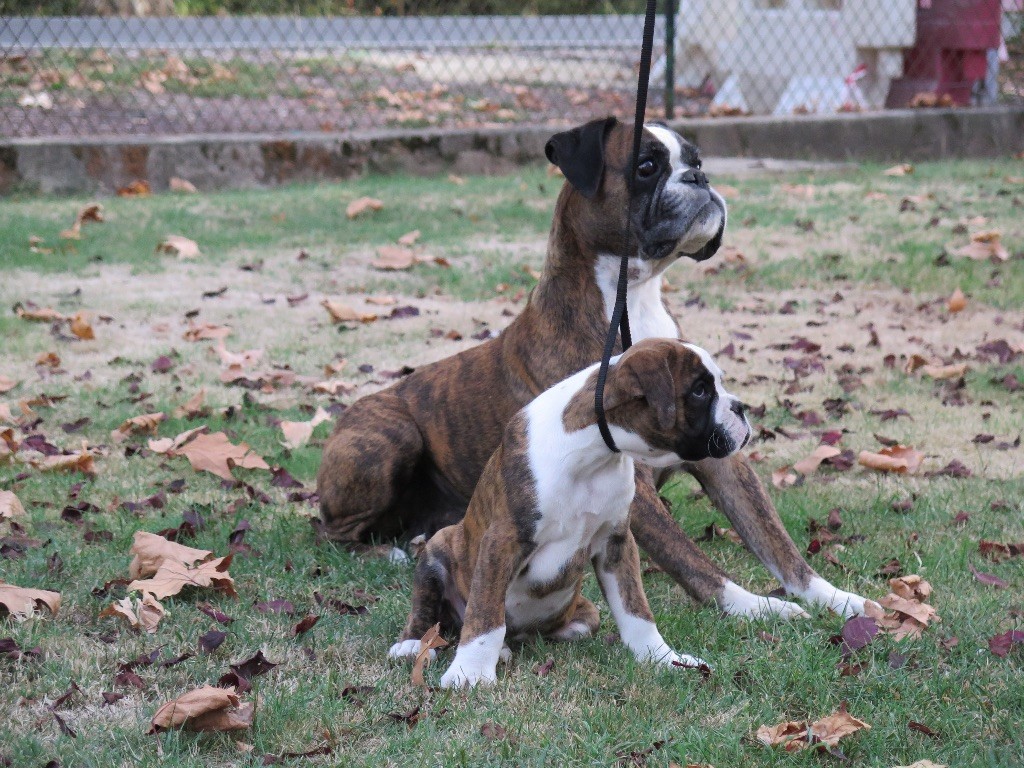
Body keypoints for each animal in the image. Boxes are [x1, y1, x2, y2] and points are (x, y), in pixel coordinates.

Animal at [315, 118, 876, 626]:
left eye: (695, 160)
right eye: (647, 167)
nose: (700, 178)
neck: (633, 302)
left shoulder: (721, 459)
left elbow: (774, 541)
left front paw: (835, 599)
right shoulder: (638, 490)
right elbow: (698, 565)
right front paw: (757, 608)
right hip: (392, 439)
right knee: (333, 531)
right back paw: (387, 551)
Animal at [387, 339, 749, 688]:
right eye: (700, 390)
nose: (742, 408)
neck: (592, 456)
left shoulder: (616, 543)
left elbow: (636, 609)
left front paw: (662, 658)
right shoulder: (502, 541)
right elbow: (486, 614)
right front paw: (470, 673)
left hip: (582, 613)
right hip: (439, 546)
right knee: (431, 607)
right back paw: (413, 643)